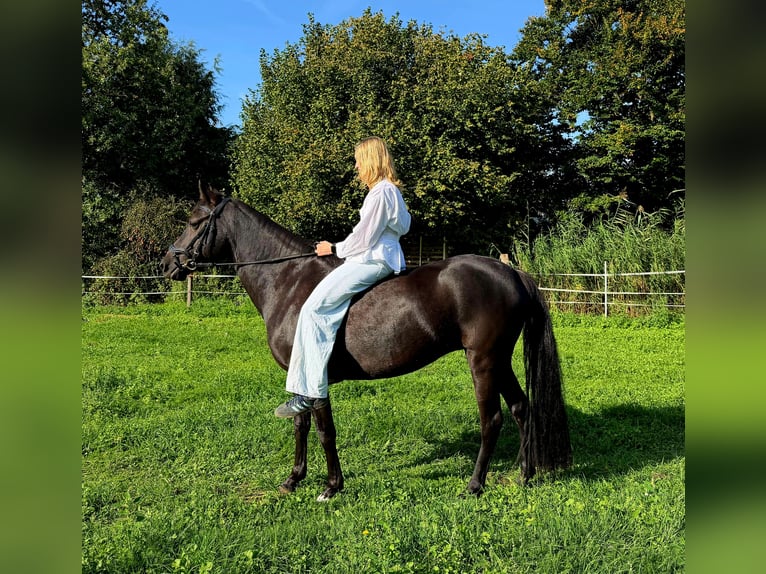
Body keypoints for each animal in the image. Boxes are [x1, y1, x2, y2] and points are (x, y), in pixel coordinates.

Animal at [161, 183, 571, 501]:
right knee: (521, 408)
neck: (288, 280)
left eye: (194, 222)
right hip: (499, 360)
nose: (167, 264)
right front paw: (293, 479)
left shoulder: (315, 375)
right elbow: (301, 425)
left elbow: (324, 430)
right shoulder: (302, 376)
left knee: (493, 418)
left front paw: (331, 486)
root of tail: (510, 272)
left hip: (483, 361)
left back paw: (474, 485)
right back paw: (524, 475)